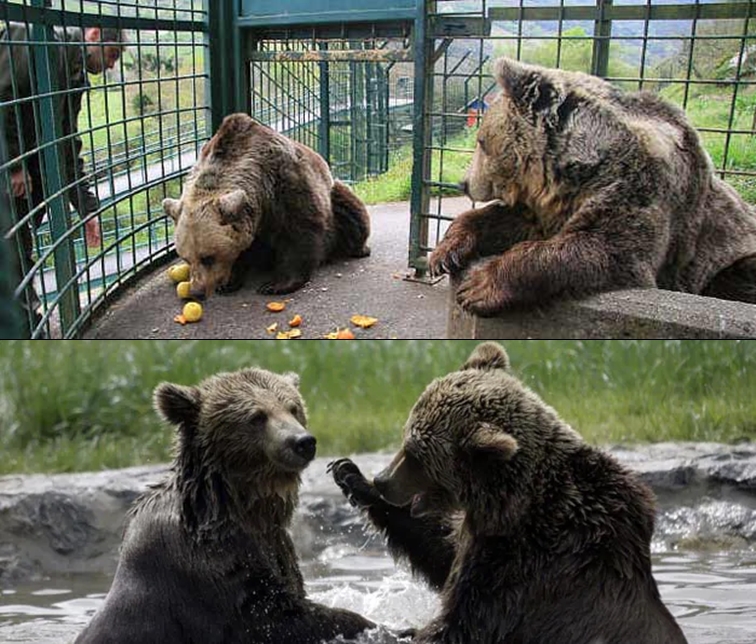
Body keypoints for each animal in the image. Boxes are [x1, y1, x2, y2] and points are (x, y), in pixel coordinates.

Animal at [74, 367, 376, 644]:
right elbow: (273, 616)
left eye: (293, 407)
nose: (302, 442)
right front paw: (369, 623)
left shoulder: (275, 545)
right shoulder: (209, 567)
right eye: (257, 416)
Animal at [162, 113, 371, 297]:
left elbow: (300, 231)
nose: (197, 292)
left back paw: (357, 249)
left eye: (208, 257)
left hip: (333, 195)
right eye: (186, 258)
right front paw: (229, 282)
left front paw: (275, 285)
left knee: (350, 212)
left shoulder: (285, 183)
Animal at [331, 342, 689, 644]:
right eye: (406, 438)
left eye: (417, 454)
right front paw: (350, 475)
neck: (509, 504)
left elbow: (461, 624)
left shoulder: (527, 567)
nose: (383, 480)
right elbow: (440, 549)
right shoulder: (481, 538)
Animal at [429, 56, 756, 316]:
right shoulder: (548, 208)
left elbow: (604, 247)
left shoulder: (637, 188)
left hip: (726, 256)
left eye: (482, 142)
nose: (463, 182)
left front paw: (479, 286)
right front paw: (445, 253)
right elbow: (502, 219)